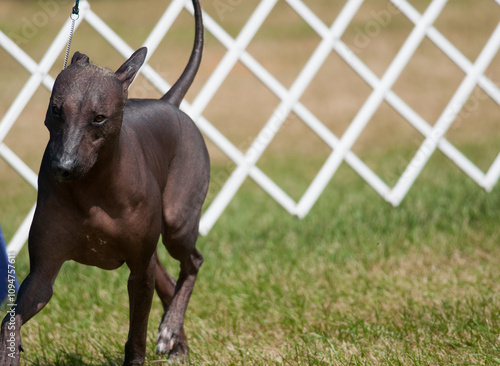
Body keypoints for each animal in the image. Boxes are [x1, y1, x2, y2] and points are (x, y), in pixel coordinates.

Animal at [0, 1, 207, 364]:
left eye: (98, 118)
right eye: (57, 110)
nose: (62, 167)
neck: (92, 187)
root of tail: (168, 102)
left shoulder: (139, 272)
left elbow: (136, 335)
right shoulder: (42, 274)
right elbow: (11, 320)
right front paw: (9, 351)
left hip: (178, 223)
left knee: (192, 262)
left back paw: (170, 328)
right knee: (168, 278)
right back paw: (176, 342)